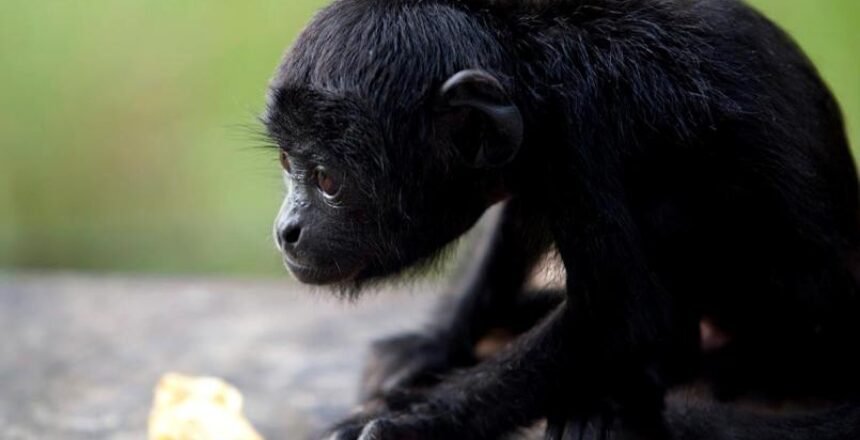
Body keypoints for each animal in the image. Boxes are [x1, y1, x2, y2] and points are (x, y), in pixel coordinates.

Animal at [266, 0, 860, 438]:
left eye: (328, 181)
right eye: (288, 164)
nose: (285, 231)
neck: (528, 59)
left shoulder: (587, 133)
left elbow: (633, 321)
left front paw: (410, 423)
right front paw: (432, 346)